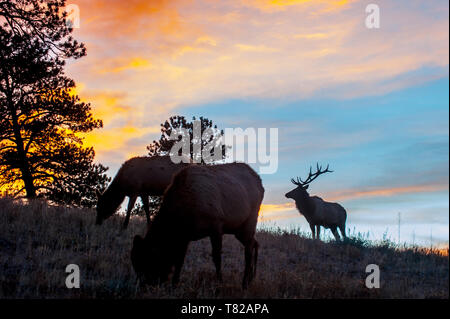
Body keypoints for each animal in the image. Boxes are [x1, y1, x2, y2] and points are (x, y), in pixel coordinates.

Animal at [130, 162, 264, 290]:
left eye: (148, 261)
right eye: (135, 264)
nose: (144, 287)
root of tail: (260, 183)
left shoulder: (216, 225)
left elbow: (216, 257)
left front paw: (219, 283)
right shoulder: (185, 236)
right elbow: (180, 259)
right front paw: (174, 284)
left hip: (250, 220)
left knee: (249, 249)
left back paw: (245, 283)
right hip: (238, 229)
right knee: (255, 243)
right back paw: (251, 278)